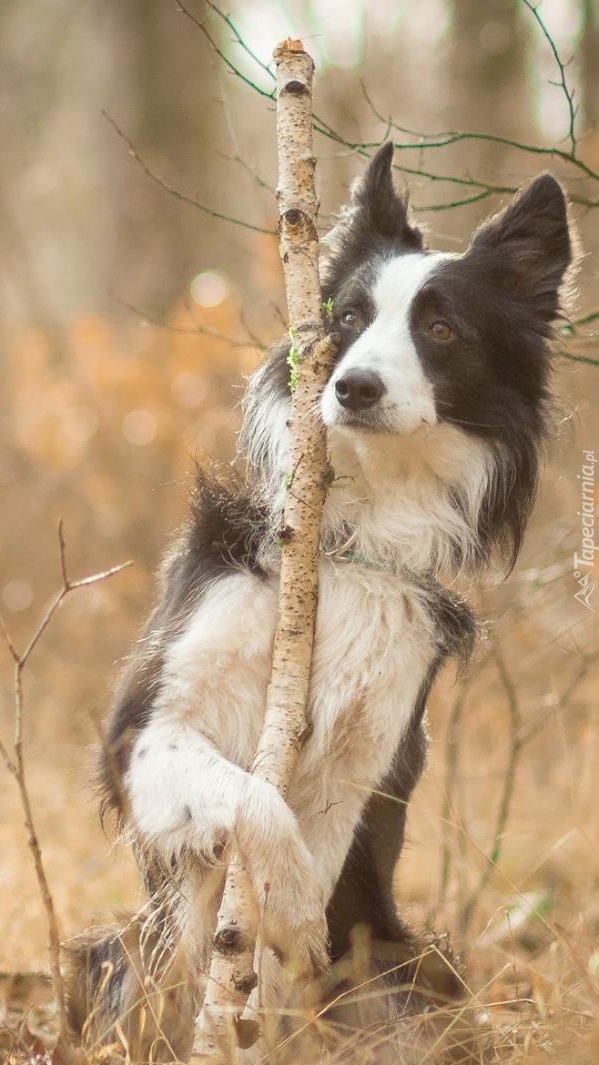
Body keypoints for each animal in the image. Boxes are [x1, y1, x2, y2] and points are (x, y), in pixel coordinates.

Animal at [64, 143, 567, 1065]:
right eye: (347, 316)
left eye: (441, 329)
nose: (353, 387)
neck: (354, 532)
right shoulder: (146, 730)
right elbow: (256, 804)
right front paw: (293, 909)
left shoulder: (360, 759)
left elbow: (298, 885)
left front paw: (274, 997)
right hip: (109, 953)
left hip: (419, 968)